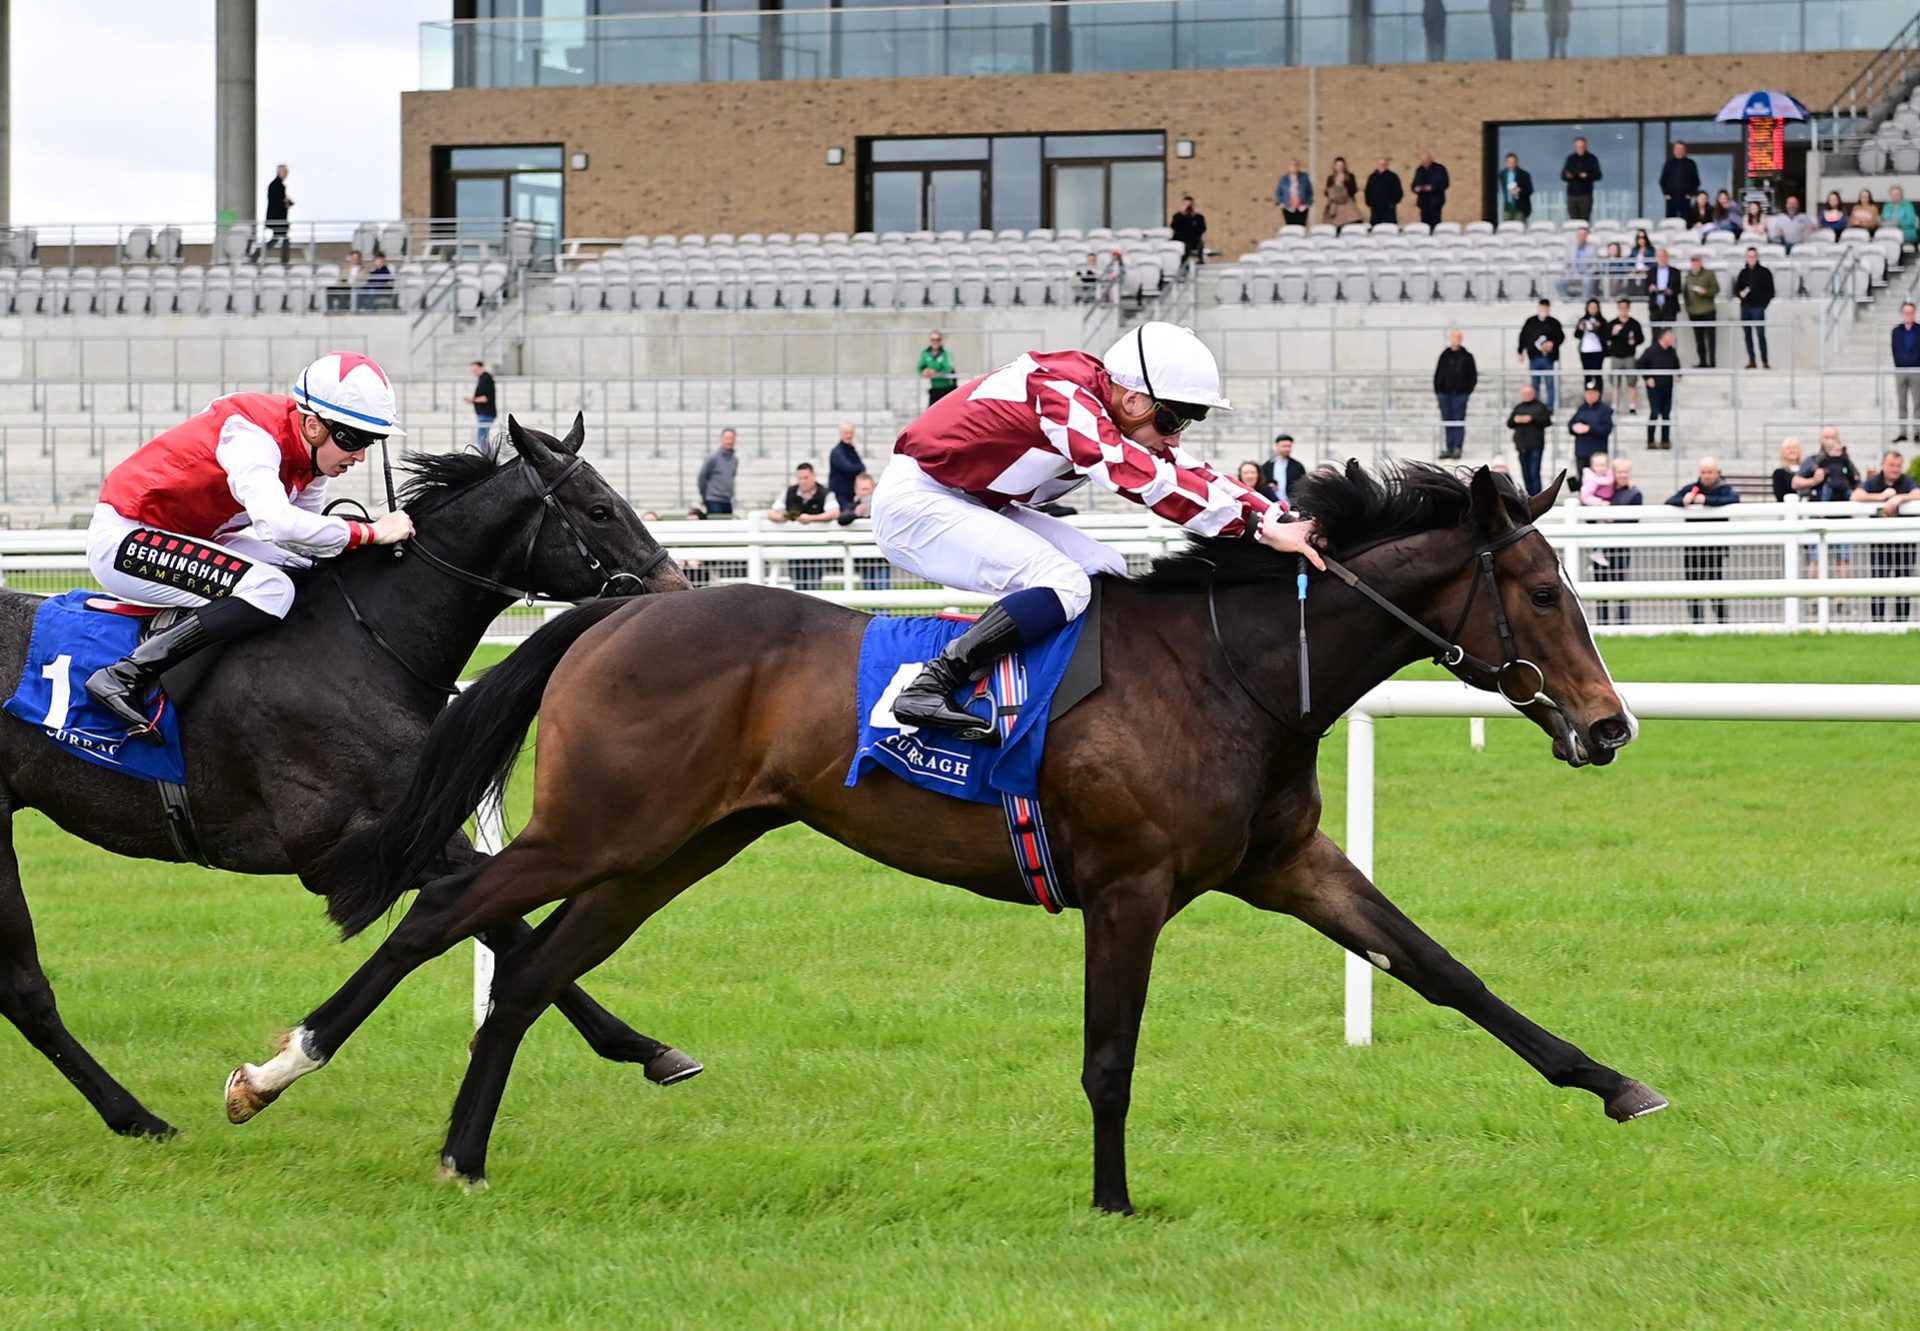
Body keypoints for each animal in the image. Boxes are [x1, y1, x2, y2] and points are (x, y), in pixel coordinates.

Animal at [0, 412, 698, 1129]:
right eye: (600, 509)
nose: (678, 595)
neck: (362, 644)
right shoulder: (343, 846)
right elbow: (493, 918)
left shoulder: (408, 832)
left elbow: (498, 921)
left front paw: (649, 1049)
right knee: (25, 989)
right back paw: (137, 1115)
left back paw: (136, 1117)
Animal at [228, 462, 1666, 1206]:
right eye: (1542, 589)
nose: (1609, 728)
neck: (1236, 671)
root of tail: (622, 609)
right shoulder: (1130, 887)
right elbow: (1109, 1057)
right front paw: (1113, 1200)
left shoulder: (1285, 863)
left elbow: (1443, 969)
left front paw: (1615, 1081)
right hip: (597, 828)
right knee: (442, 914)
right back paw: (275, 1066)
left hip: (672, 847)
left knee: (524, 969)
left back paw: (465, 1153)